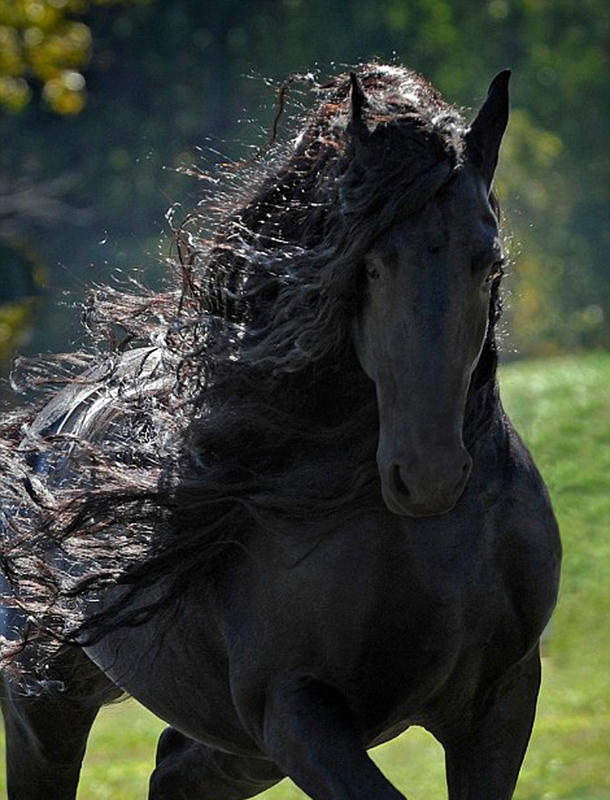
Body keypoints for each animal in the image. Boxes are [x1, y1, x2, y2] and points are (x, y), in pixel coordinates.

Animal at [1, 67, 560, 800]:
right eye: (372, 265)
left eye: (489, 263)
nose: (428, 474)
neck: (432, 547)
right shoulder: (295, 711)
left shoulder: (501, 700)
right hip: (48, 705)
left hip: (235, 749)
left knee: (172, 772)